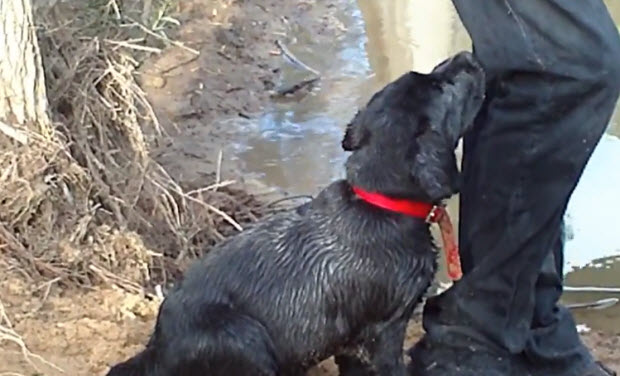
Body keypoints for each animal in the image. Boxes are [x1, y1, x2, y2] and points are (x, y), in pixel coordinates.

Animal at [106, 50, 484, 376]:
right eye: (442, 87)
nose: (467, 55)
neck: (379, 202)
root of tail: (157, 350)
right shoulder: (384, 329)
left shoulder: (352, 342)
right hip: (246, 337)